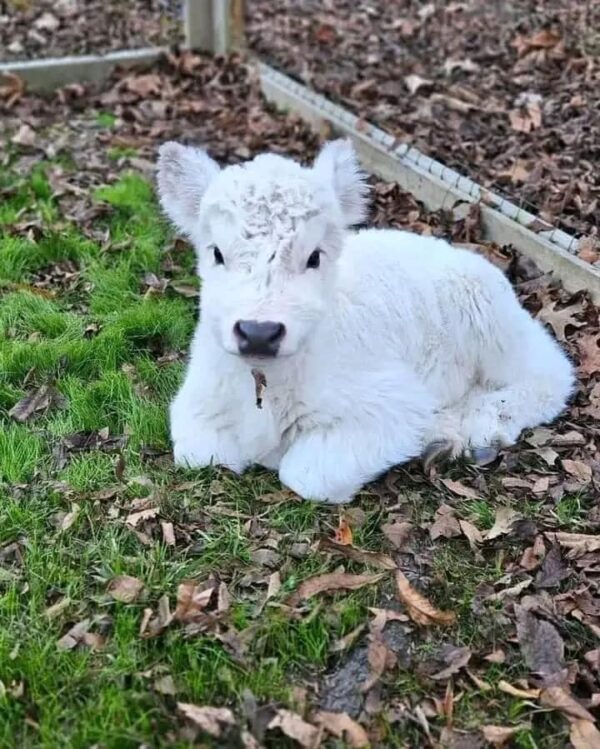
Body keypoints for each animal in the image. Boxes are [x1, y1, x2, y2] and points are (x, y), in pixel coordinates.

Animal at [157, 139, 576, 502]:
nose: (259, 333)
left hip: (490, 319)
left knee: (550, 374)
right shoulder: (198, 401)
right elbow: (200, 453)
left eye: (314, 256)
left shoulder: (392, 400)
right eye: (216, 253)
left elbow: (305, 473)